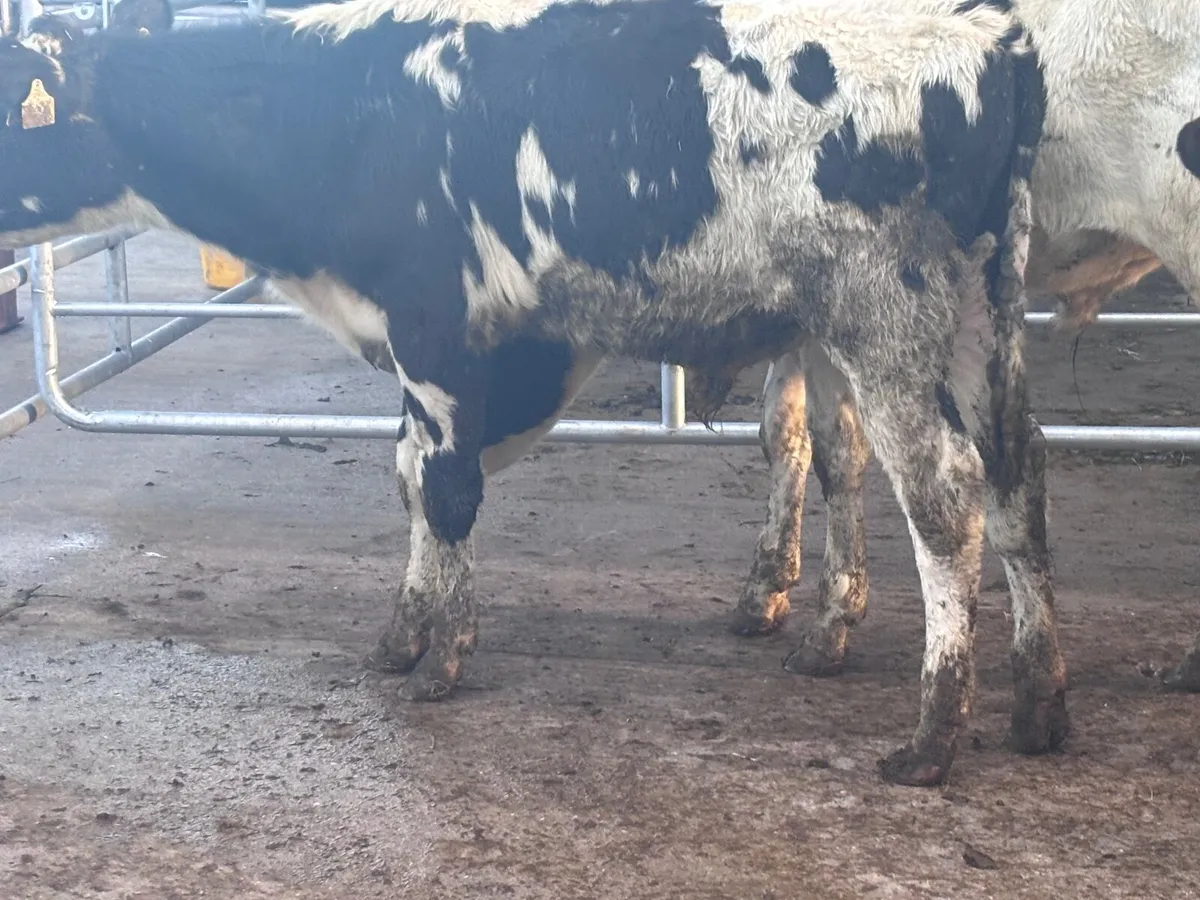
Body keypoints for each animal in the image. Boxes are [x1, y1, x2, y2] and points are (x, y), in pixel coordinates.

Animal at [0, 0, 1057, 786]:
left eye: (11, 107)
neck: (341, 112)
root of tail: (990, 34)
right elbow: (412, 476)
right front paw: (404, 634)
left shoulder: (436, 325)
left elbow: (446, 488)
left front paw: (442, 661)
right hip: (979, 314)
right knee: (1014, 471)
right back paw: (1034, 696)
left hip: (887, 317)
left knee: (947, 496)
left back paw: (934, 736)